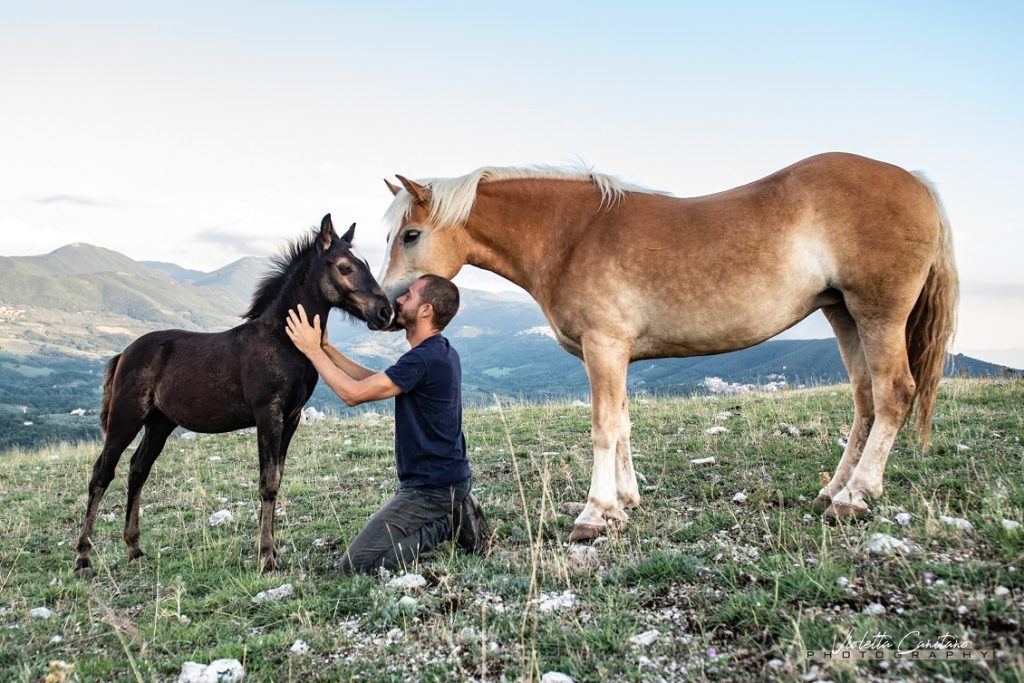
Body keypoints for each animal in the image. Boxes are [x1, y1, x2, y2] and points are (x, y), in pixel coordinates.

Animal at [74, 215, 393, 577]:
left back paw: (134, 548)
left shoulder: (292, 418)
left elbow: (277, 477)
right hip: (126, 418)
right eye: (344, 267)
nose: (385, 312)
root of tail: (124, 353)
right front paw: (267, 557)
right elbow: (267, 482)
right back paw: (83, 558)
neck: (281, 339)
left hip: (159, 423)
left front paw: (272, 550)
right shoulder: (267, 414)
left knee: (138, 469)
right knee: (102, 473)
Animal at [378, 154, 958, 544]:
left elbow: (603, 427)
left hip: (878, 313)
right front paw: (624, 503)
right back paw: (834, 491)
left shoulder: (604, 347)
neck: (572, 235)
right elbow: (623, 425)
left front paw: (594, 513)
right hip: (844, 314)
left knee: (893, 393)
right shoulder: (617, 355)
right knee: (865, 400)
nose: (387, 309)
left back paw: (856, 497)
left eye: (410, 235)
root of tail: (916, 181)